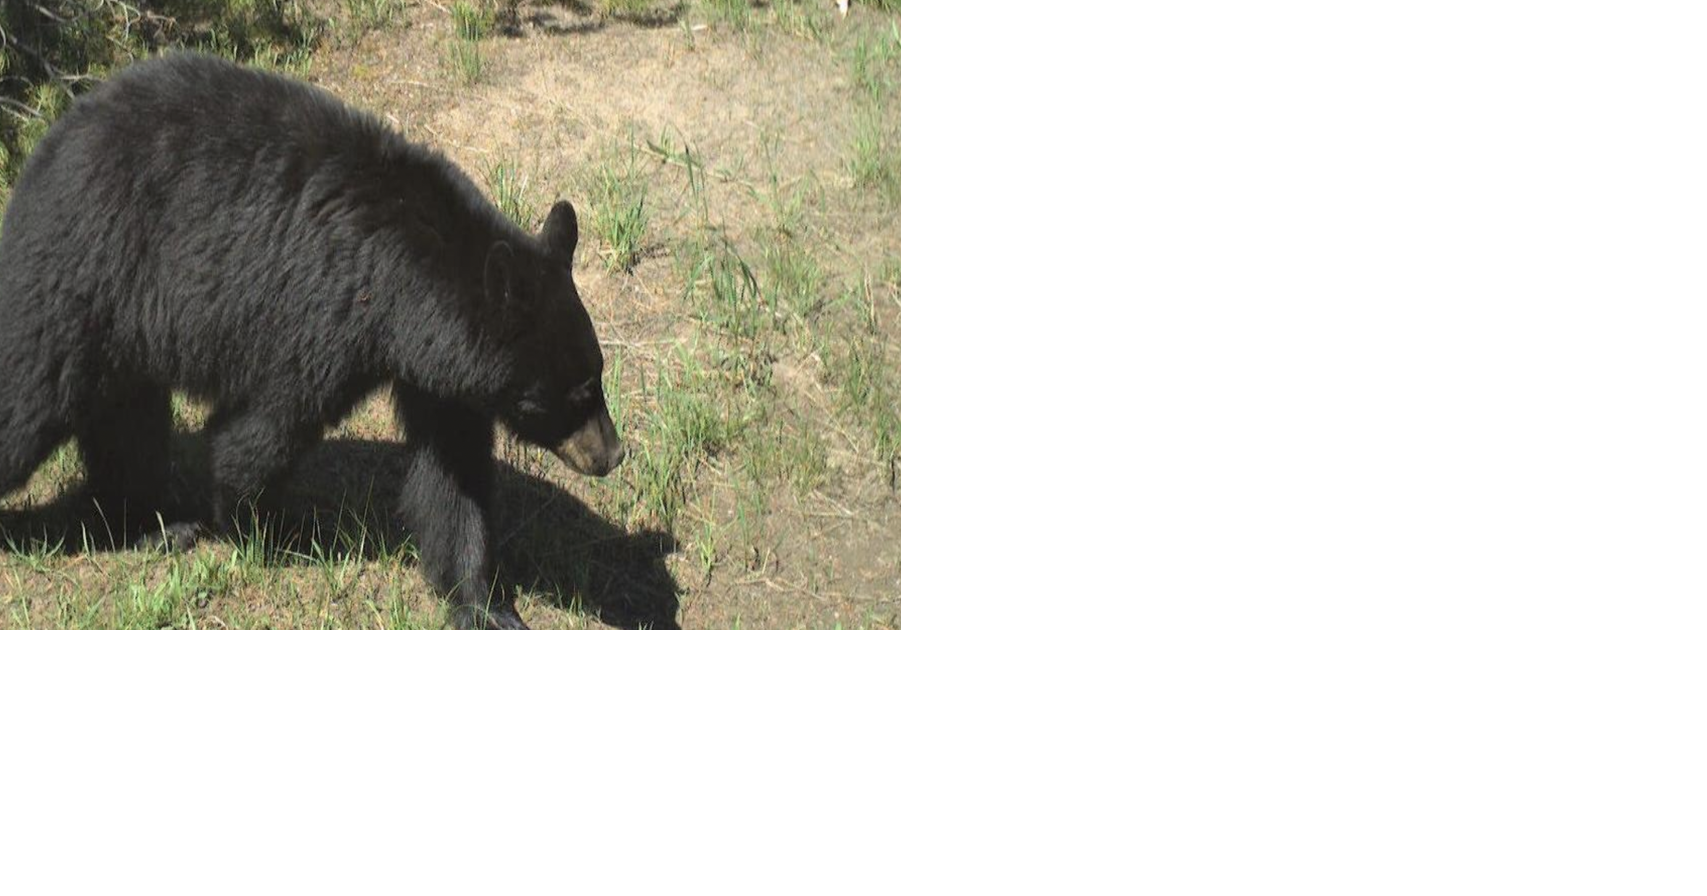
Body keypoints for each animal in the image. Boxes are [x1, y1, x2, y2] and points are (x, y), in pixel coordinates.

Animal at [0, 52, 625, 629]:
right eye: (574, 392)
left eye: (597, 376)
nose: (613, 453)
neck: (403, 282)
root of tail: (51, 143)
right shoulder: (320, 316)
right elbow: (259, 431)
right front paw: (262, 528)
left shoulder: (438, 370)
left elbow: (453, 477)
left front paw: (485, 604)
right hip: (83, 269)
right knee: (28, 402)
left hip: (122, 324)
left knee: (126, 418)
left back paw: (154, 523)